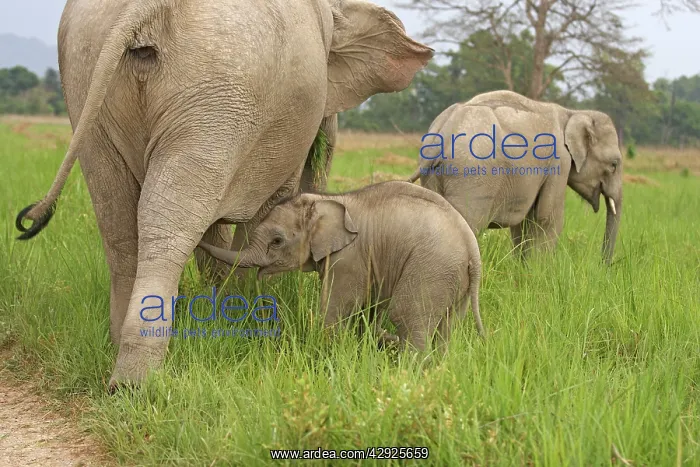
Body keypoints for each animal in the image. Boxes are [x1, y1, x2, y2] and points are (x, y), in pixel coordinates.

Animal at [14, 0, 433, 388]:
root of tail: (144, 10)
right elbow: (266, 209)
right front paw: (245, 317)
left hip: (90, 81)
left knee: (119, 221)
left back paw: (119, 357)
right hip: (217, 93)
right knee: (168, 222)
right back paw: (137, 382)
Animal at [198, 180, 486, 350]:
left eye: (277, 241)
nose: (199, 240)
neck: (326, 201)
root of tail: (471, 247)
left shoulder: (349, 257)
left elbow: (337, 306)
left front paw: (326, 349)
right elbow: (368, 307)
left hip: (431, 268)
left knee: (407, 316)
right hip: (452, 278)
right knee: (446, 325)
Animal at [408, 90, 623, 264]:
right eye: (614, 165)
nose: (605, 266)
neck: (572, 113)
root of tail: (444, 131)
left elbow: (524, 221)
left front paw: (523, 269)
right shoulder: (559, 161)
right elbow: (548, 217)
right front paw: (540, 271)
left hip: (436, 176)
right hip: (471, 178)